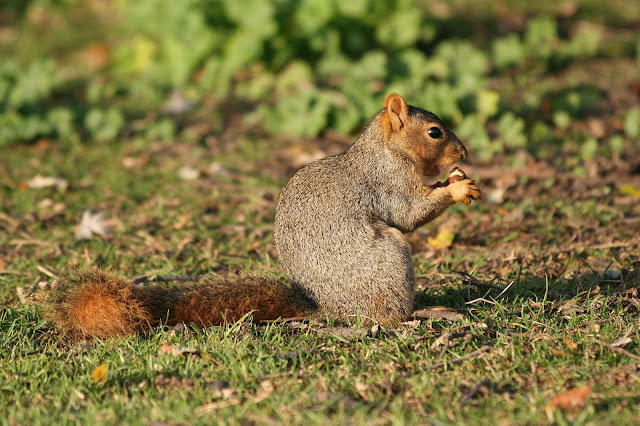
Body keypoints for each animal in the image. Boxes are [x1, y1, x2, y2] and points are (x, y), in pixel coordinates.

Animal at [46, 92, 480, 336]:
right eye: (435, 132)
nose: (465, 153)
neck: (388, 150)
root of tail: (327, 308)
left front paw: (459, 178)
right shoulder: (387, 183)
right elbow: (409, 214)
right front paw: (457, 187)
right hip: (389, 260)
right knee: (388, 316)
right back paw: (425, 312)